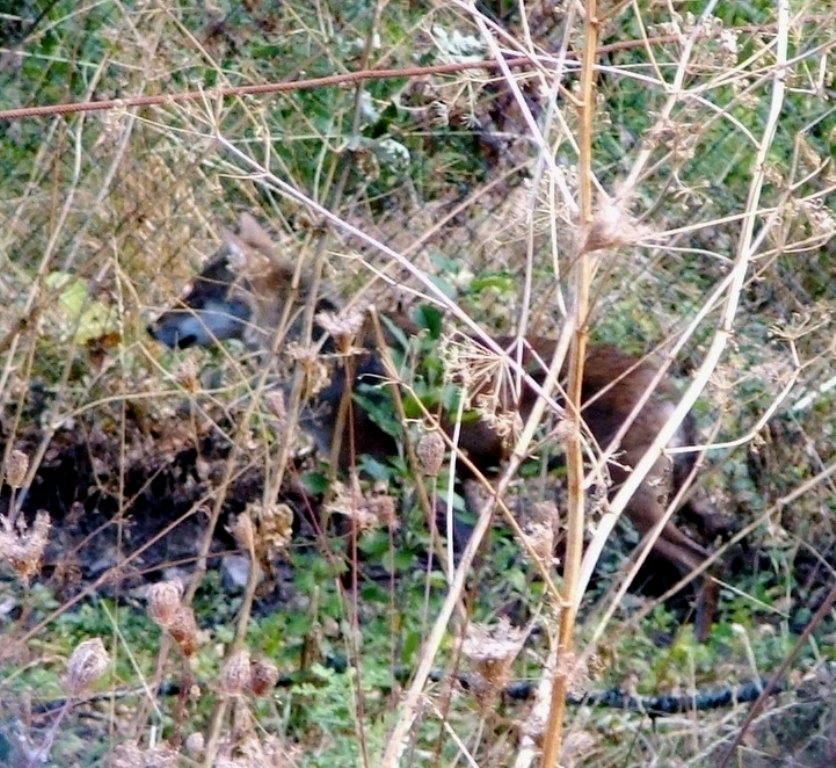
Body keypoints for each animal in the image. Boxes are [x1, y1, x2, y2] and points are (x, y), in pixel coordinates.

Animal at [149, 213, 720, 632]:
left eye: (194, 295)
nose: (152, 327)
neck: (322, 353)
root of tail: (675, 388)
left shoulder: (350, 468)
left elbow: (348, 559)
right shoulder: (454, 480)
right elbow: (465, 557)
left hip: (632, 503)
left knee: (703, 564)